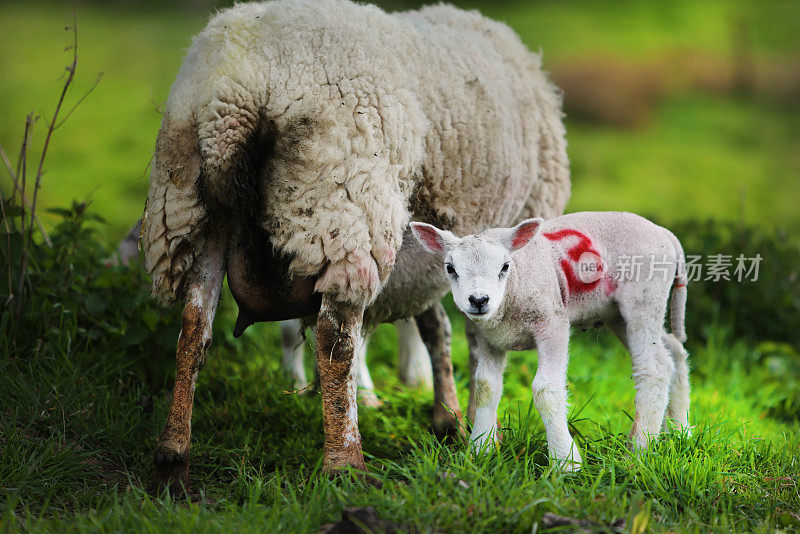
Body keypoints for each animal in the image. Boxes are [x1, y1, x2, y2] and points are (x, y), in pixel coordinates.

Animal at [144, 0, 568, 490]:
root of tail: (232, 97)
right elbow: (474, 338)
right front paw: (483, 434)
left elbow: (442, 326)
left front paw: (456, 421)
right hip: (339, 205)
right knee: (335, 338)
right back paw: (347, 462)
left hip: (191, 211)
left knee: (194, 328)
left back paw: (173, 458)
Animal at [412, 214, 688, 474]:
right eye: (450, 268)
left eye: (505, 266)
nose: (479, 300)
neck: (515, 285)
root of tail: (665, 234)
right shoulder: (489, 337)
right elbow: (485, 386)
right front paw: (480, 450)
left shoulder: (552, 324)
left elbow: (545, 389)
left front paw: (566, 462)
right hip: (617, 314)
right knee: (673, 352)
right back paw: (678, 430)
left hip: (644, 298)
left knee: (654, 369)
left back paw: (638, 451)